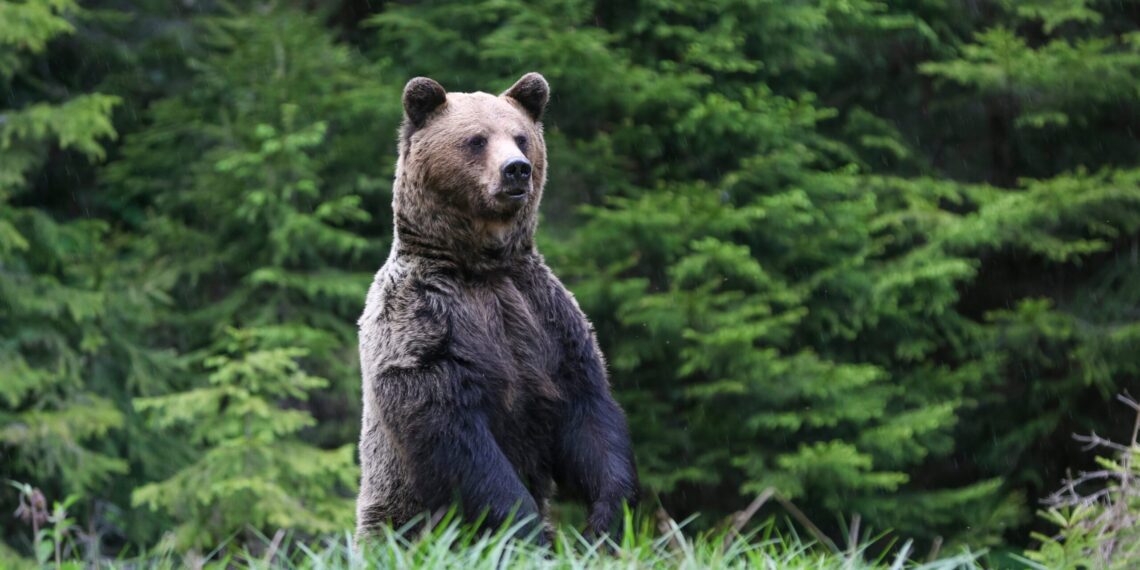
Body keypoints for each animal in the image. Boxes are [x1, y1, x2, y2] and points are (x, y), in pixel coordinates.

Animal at [354, 72, 639, 544]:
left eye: (521, 137)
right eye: (476, 139)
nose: (517, 169)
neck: (482, 266)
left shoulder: (548, 318)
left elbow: (589, 414)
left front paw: (606, 521)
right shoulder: (424, 321)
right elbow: (455, 435)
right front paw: (526, 529)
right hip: (395, 512)